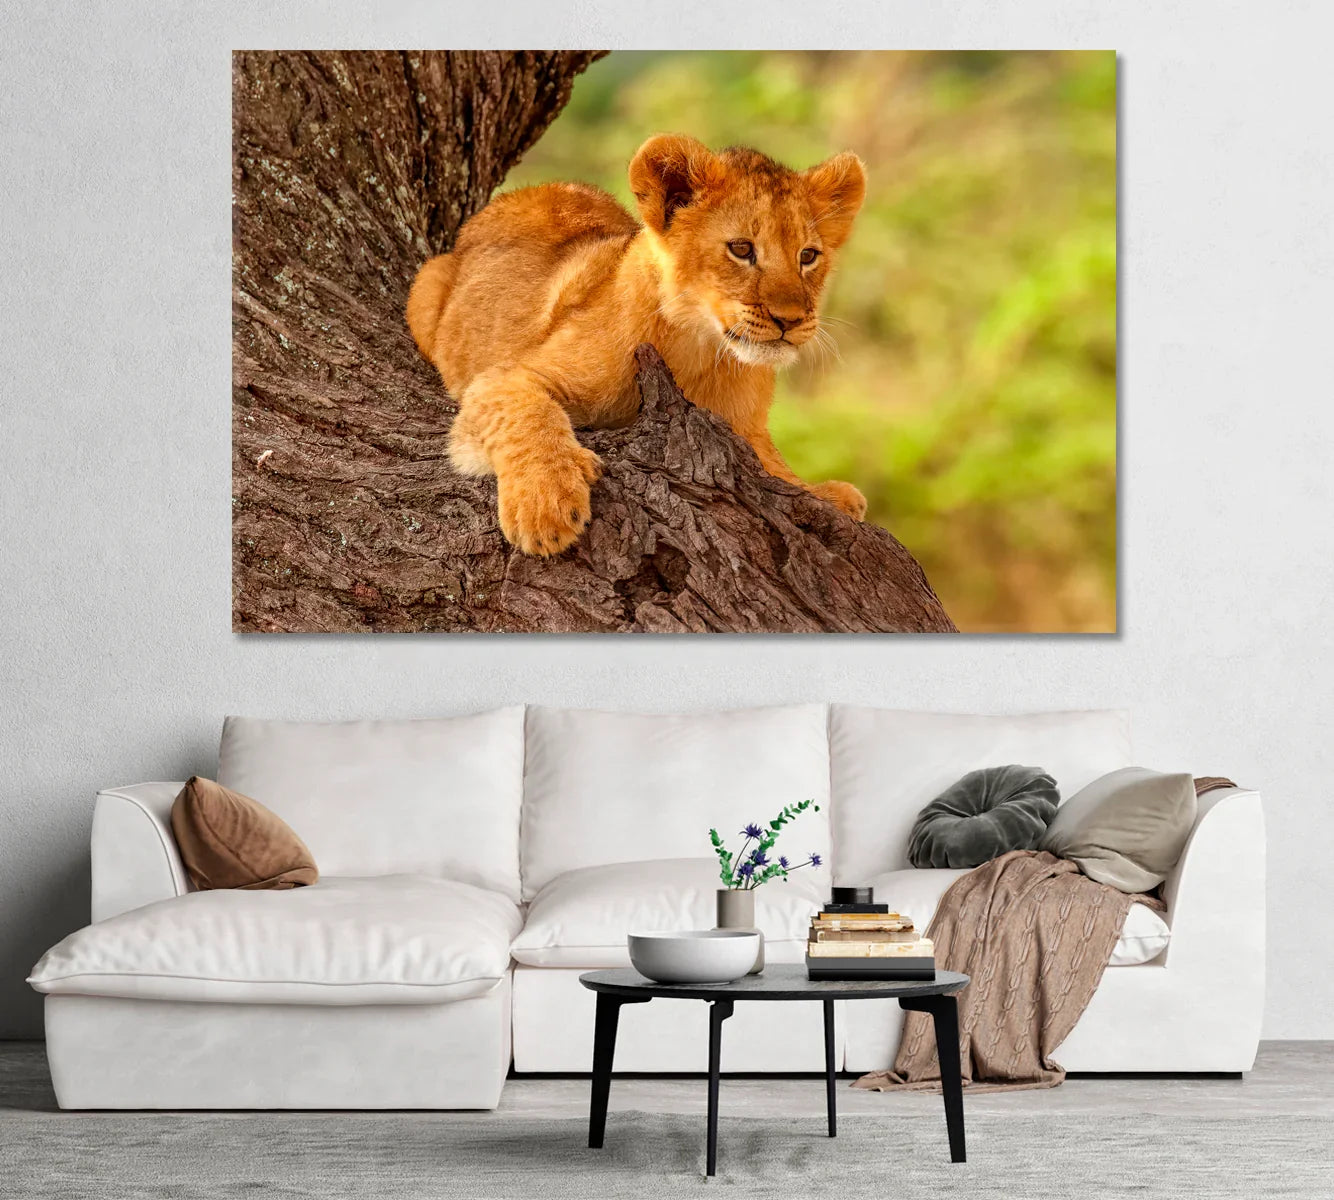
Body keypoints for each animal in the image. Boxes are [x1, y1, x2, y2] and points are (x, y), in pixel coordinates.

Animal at [406, 133, 868, 556]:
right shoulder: (502, 378)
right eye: (741, 249)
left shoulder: (748, 431)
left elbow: (777, 469)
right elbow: (528, 412)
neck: (699, 352)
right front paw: (545, 506)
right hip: (426, 284)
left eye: (808, 256)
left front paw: (827, 494)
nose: (790, 320)